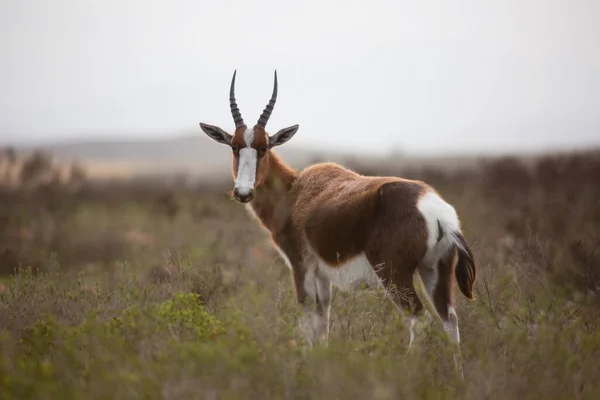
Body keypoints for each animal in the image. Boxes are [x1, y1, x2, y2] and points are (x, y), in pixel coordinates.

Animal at [199, 70, 476, 374]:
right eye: (235, 146)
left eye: (263, 147)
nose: (243, 192)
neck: (295, 192)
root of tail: (437, 211)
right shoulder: (323, 275)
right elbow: (323, 322)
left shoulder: (302, 266)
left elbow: (307, 319)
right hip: (434, 270)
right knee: (450, 319)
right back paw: (458, 377)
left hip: (395, 275)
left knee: (419, 318)